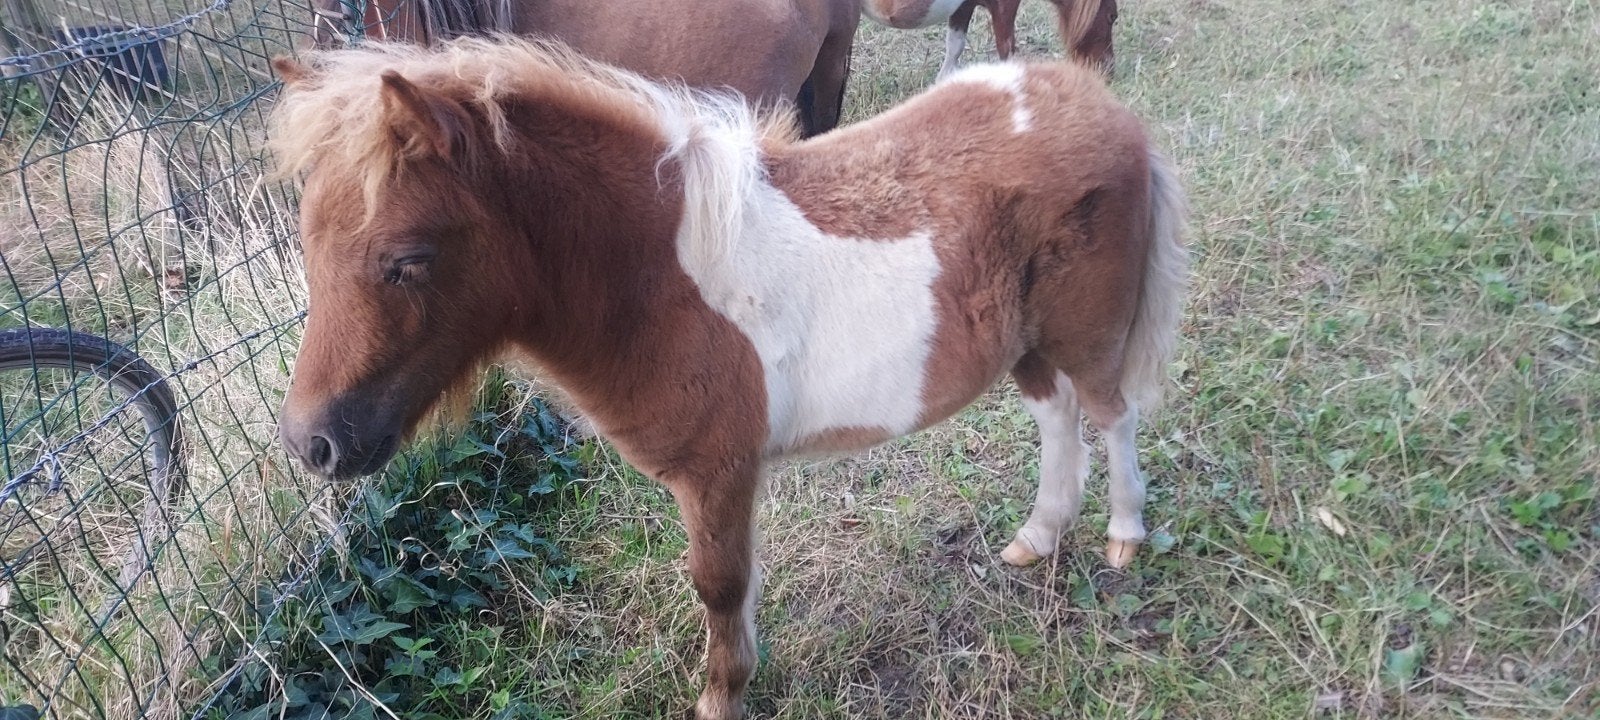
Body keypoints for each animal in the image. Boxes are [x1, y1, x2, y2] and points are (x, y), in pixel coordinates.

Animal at [269, 35, 1186, 719]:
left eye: (407, 261)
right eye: (306, 244)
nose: (311, 444)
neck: (662, 280)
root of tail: (1096, 101)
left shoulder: (718, 473)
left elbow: (718, 587)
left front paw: (721, 697)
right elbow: (734, 591)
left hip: (1085, 330)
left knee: (1110, 412)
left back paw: (1122, 536)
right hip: (1028, 343)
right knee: (1057, 415)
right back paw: (1038, 539)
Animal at [863, 0, 1117, 79]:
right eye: (1112, 17)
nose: (1108, 69)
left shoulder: (963, 8)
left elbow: (954, 47)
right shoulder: (1004, 8)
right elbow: (1007, 49)